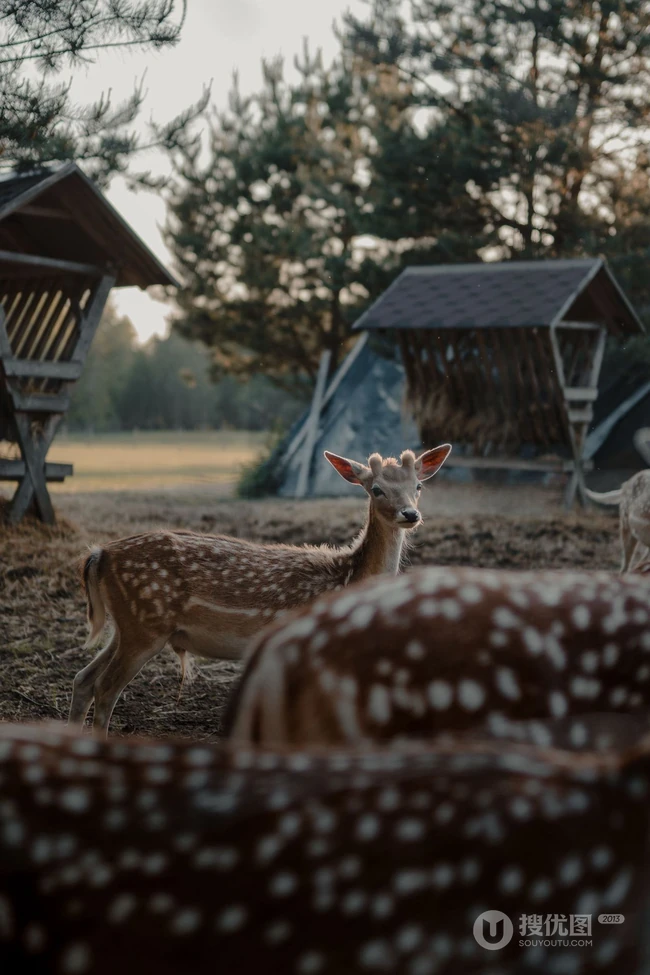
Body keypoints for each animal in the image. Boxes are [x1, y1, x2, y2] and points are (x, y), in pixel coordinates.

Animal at [69, 444, 452, 735]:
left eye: (418, 486)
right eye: (376, 489)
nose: (410, 514)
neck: (346, 578)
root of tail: (99, 554)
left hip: (127, 626)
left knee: (83, 678)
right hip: (145, 624)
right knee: (105, 688)